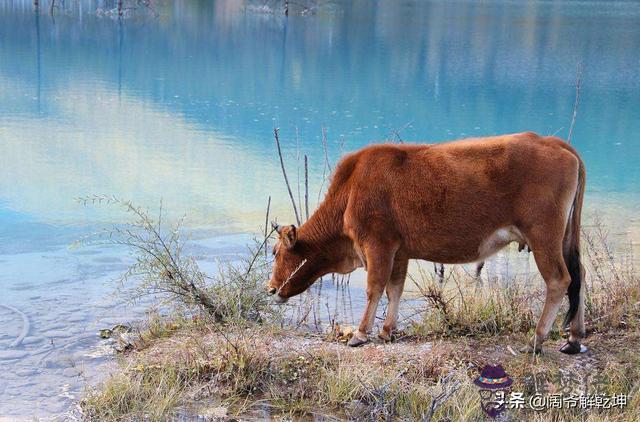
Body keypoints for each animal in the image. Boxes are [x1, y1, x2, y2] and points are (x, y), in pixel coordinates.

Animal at [268, 131, 588, 352]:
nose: (270, 289)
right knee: (578, 276)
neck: (352, 189)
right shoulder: (399, 251)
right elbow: (395, 289)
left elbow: (375, 288)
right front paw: (387, 331)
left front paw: (360, 334)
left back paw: (537, 340)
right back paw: (573, 339)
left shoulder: (377, 245)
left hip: (543, 236)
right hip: (563, 238)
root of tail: (554, 142)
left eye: (275, 252)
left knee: (559, 279)